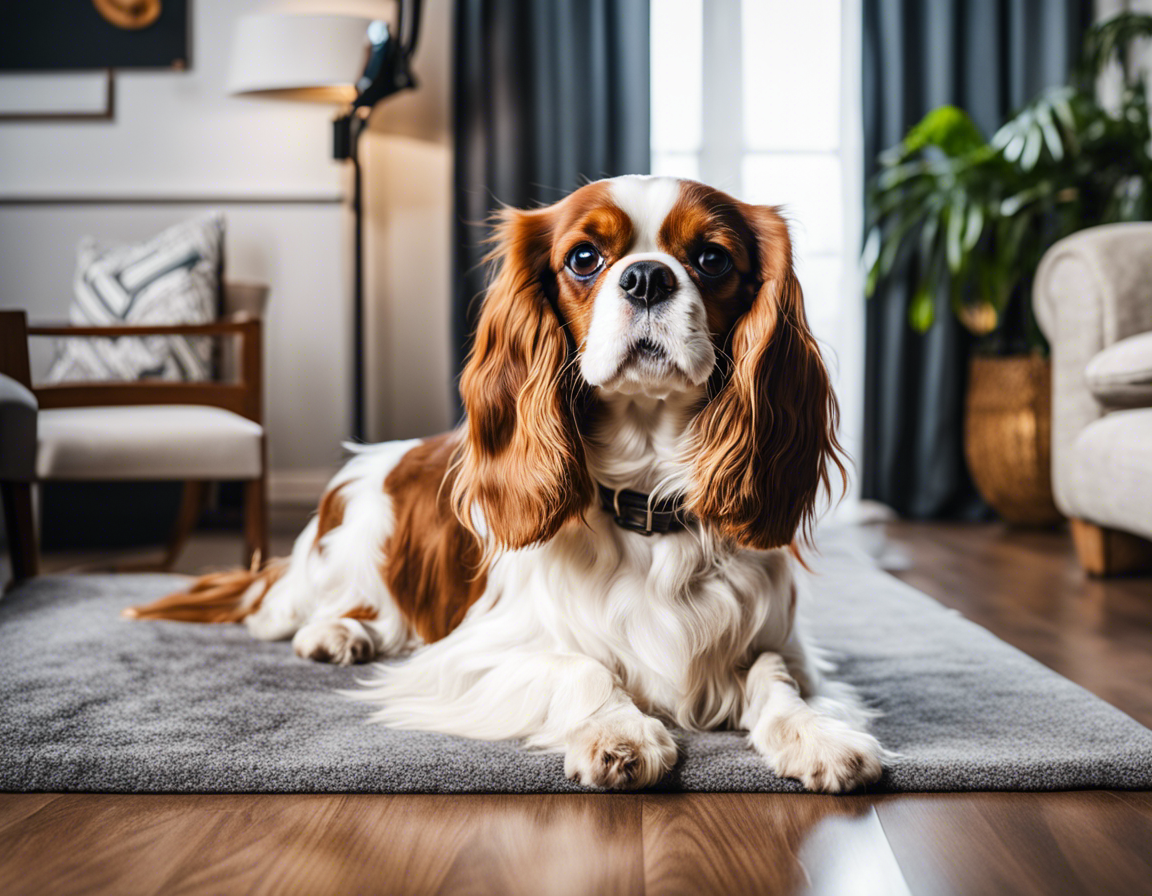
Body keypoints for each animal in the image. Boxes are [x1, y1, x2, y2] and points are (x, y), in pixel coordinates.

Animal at [128, 178, 880, 792]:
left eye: (714, 258)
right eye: (584, 258)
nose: (645, 278)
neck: (647, 500)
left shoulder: (786, 645)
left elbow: (777, 678)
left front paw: (819, 736)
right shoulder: (466, 656)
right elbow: (581, 666)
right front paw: (618, 731)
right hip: (352, 543)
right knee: (288, 611)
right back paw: (338, 633)